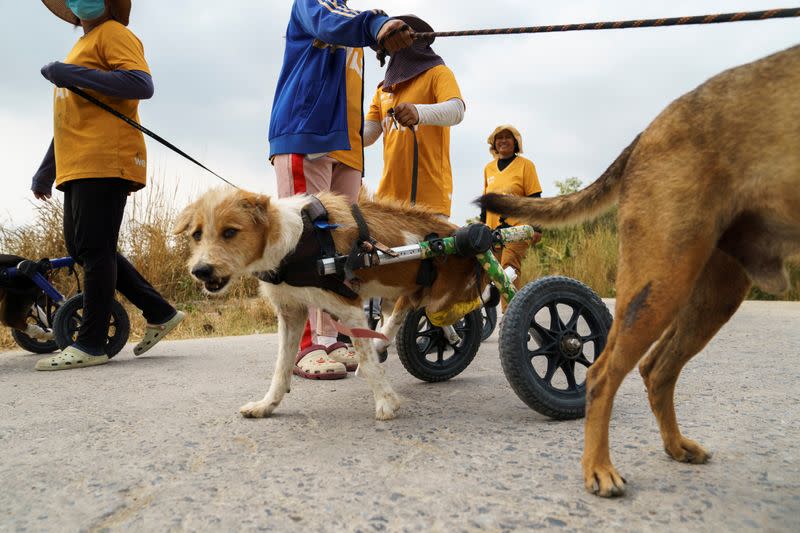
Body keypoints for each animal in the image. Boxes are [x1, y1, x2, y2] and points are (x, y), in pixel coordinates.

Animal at [482, 43, 800, 496]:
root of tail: (648, 131)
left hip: (709, 290)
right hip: (662, 279)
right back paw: (599, 467)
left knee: (655, 368)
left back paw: (675, 446)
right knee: (602, 374)